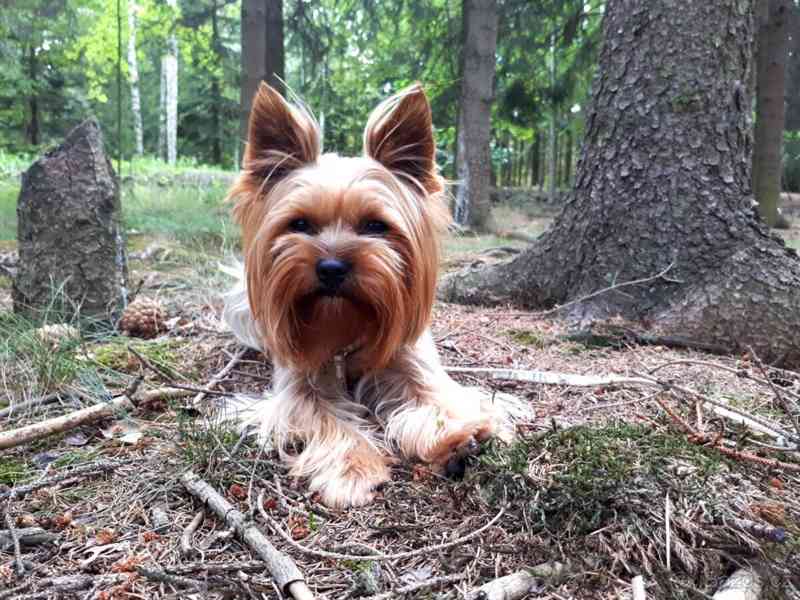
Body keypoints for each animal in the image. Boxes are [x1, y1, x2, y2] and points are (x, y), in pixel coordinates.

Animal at [225, 82, 524, 508]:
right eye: (299, 224)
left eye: (375, 226)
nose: (331, 267)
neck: (344, 328)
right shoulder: (297, 387)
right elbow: (324, 416)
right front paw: (354, 470)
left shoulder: (412, 361)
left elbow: (435, 397)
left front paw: (456, 435)